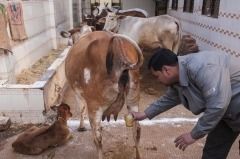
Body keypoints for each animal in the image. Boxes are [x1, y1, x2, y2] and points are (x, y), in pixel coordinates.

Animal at [64, 31, 143, 159]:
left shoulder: (78, 94)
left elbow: (81, 110)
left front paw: (81, 127)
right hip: (133, 100)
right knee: (137, 129)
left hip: (94, 107)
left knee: (98, 138)